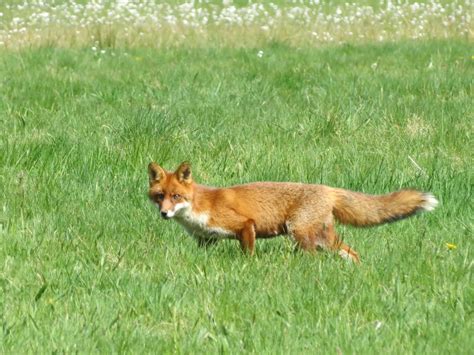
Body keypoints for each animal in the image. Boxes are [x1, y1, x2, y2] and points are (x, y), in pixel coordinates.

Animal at [147, 163, 436, 262]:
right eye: (160, 197)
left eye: (176, 197)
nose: (164, 214)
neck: (199, 207)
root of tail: (327, 188)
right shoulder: (206, 240)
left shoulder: (245, 225)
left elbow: (248, 255)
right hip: (324, 239)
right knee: (352, 253)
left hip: (301, 234)